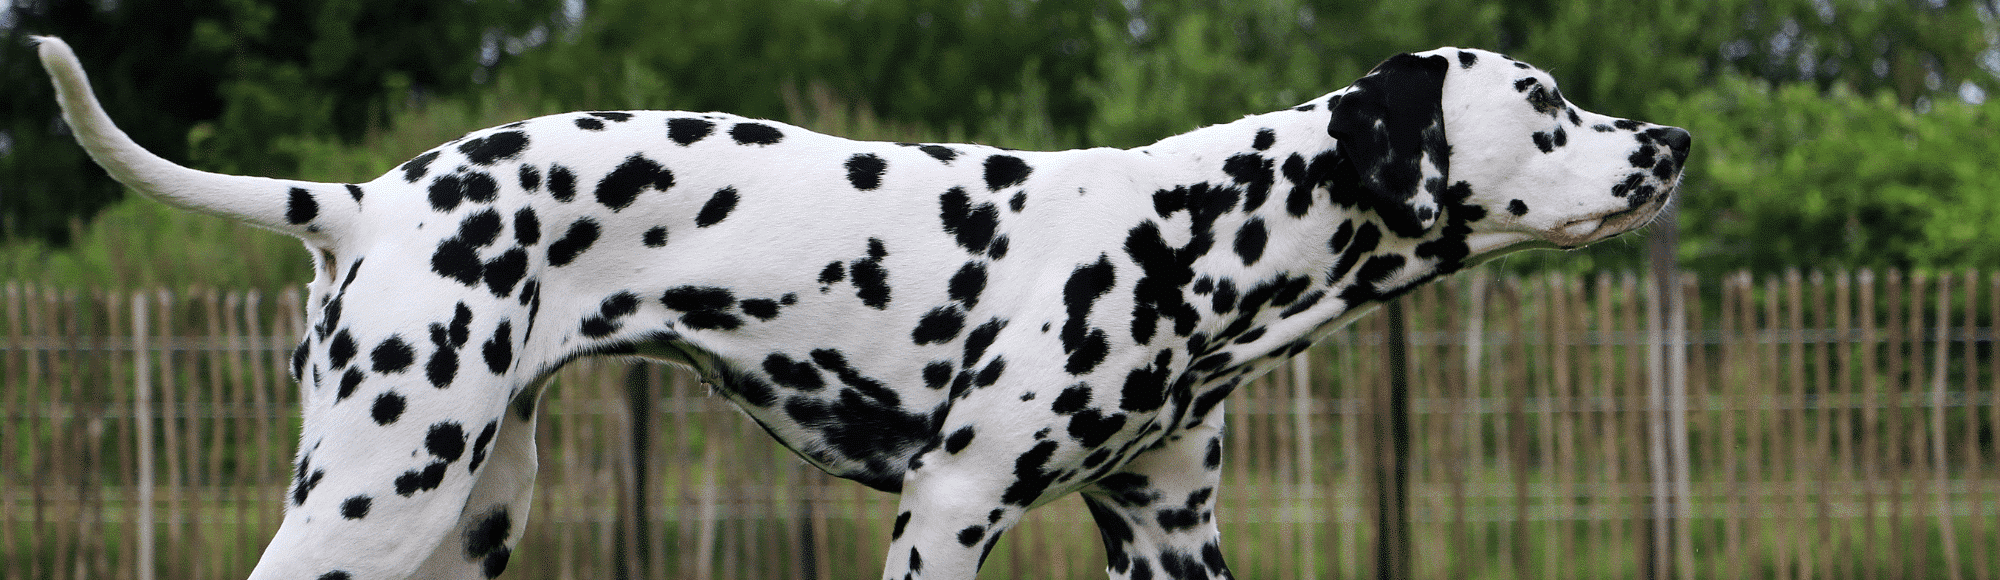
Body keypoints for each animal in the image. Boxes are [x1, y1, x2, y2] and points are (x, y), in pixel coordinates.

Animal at [35, 37, 1688, 580]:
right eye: (1545, 106)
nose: (1671, 143)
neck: (1194, 232)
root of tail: (367, 198)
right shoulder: (949, 510)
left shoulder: (1170, 531)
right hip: (376, 493)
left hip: (460, 519)